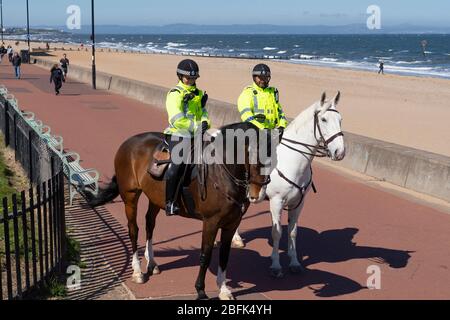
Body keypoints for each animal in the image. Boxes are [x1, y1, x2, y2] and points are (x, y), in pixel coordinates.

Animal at [85, 122, 272, 300]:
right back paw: (137, 271)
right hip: (130, 196)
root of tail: (129, 142)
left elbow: (224, 256)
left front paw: (224, 290)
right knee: (133, 230)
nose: (258, 194)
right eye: (252, 154)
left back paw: (151, 263)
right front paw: (200, 290)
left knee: (149, 225)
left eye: (272, 156)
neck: (221, 173)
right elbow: (205, 255)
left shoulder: (232, 224)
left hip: (155, 198)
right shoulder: (211, 222)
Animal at [232, 90, 344, 278]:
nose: (340, 152)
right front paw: (276, 265)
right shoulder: (276, 202)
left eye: (340, 119)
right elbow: (277, 232)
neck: (293, 160)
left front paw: (294, 262)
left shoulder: (299, 203)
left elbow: (293, 232)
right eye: (323, 120)